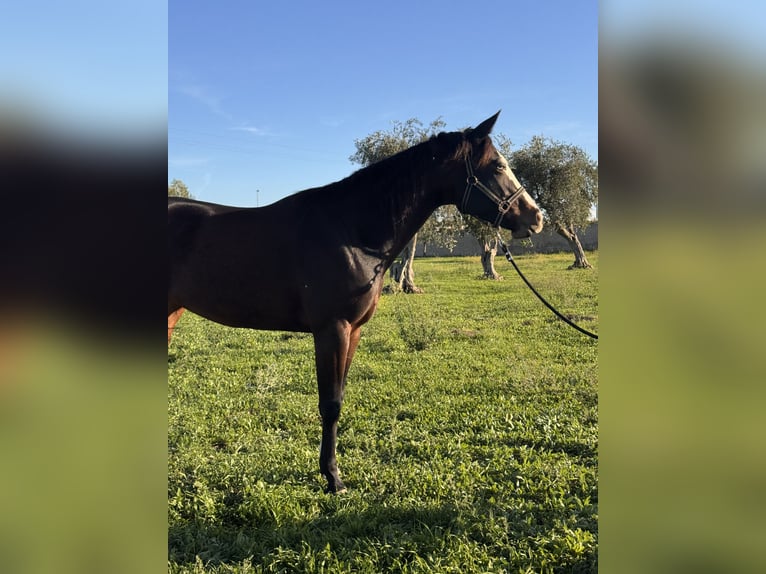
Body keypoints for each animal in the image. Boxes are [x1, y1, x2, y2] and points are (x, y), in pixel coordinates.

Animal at [168, 112, 543, 493]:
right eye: (498, 165)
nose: (536, 218)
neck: (351, 231)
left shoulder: (354, 331)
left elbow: (340, 396)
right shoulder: (332, 330)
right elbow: (330, 404)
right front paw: (333, 478)